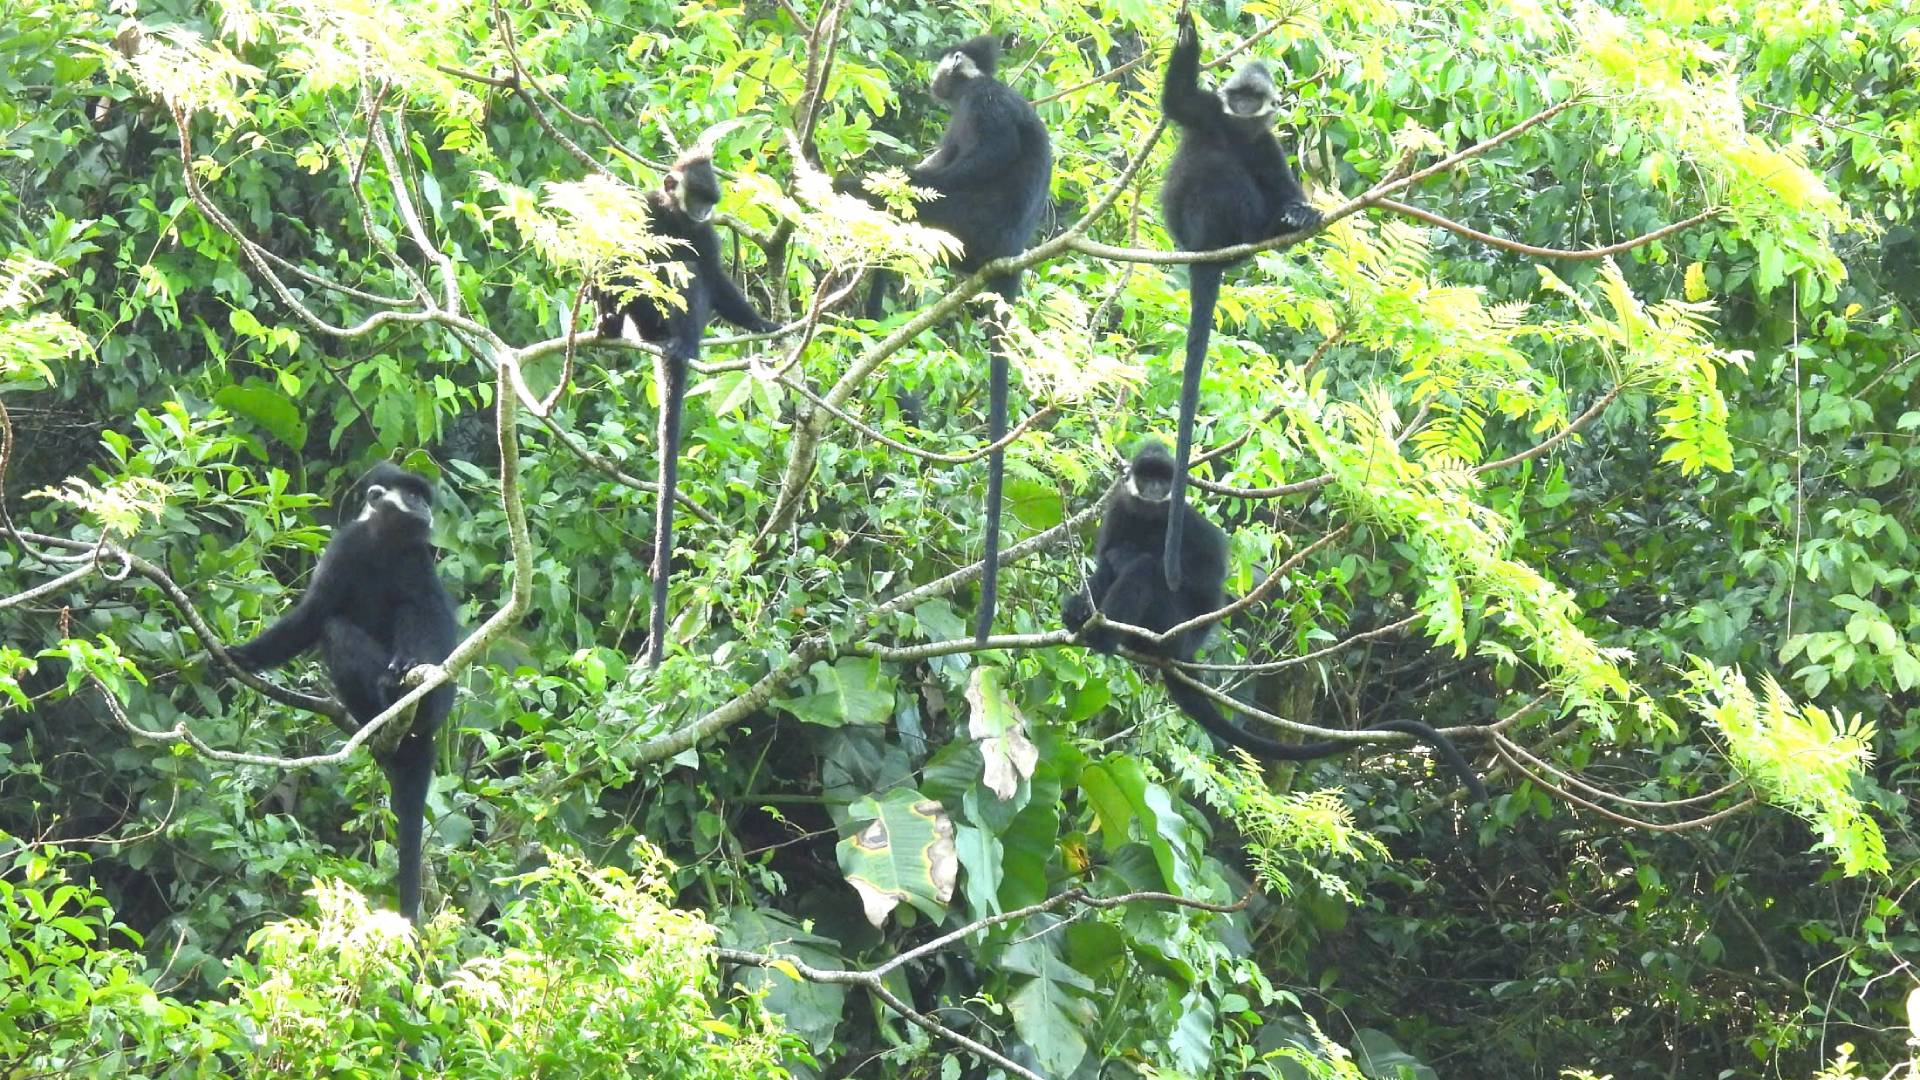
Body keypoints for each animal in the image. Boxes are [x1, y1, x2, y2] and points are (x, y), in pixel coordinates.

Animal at [227, 457, 456, 922]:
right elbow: (313, 616)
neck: (382, 543)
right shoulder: (344, 548)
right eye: (413, 495)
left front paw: (409, 665)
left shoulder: (416, 560)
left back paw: (400, 686)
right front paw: (243, 656)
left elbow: (431, 619)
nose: (426, 508)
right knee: (335, 628)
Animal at [599, 146, 779, 664]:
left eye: (708, 201)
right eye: (696, 195)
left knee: (689, 276)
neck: (674, 217)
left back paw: (682, 343)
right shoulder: (644, 209)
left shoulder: (706, 234)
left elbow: (714, 280)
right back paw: (613, 325)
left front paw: (764, 324)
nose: (700, 211)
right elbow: (616, 256)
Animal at [837, 33, 1052, 638]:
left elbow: (988, 154)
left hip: (967, 224)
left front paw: (883, 181)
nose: (935, 74)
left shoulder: (983, 103)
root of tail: (1007, 256)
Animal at [1067, 440, 1482, 799]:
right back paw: (1083, 618)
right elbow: (1107, 556)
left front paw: (1129, 565)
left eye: (1163, 479)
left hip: (1171, 624)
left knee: (1146, 571)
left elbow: (1203, 581)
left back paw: (1105, 630)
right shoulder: (1121, 508)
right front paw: (1081, 603)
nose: (1155, 488)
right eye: (1147, 476)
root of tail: (1180, 651)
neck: (1151, 514)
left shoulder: (1183, 517)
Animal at [1152, 10, 1320, 588]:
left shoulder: (1267, 145)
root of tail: (1205, 255)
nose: (1244, 107)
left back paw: (1278, 224)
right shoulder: (1207, 113)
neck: (1239, 129)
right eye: (1238, 95)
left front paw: (1300, 214)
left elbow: (1283, 186)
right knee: (1215, 169)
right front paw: (1188, 34)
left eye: (1254, 97)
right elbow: (1178, 99)